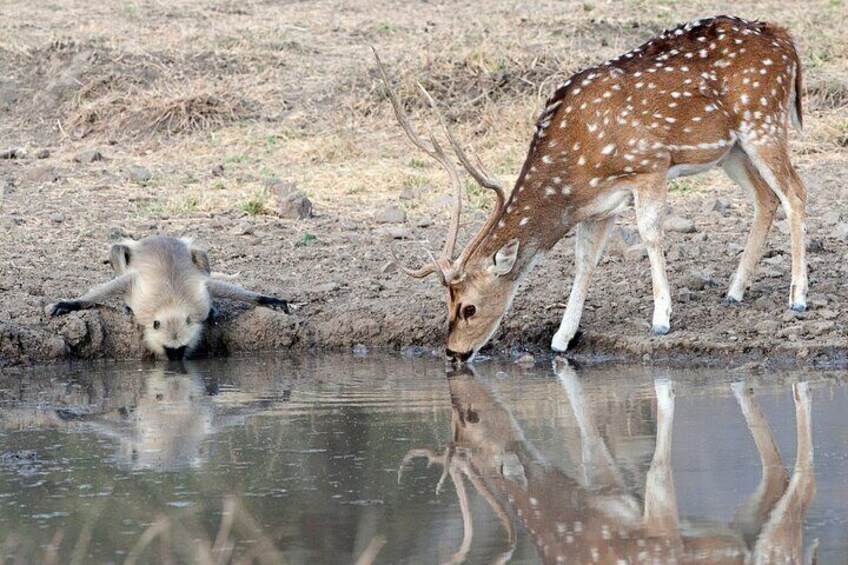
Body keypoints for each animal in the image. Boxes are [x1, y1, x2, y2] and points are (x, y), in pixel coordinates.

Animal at [380, 17, 808, 364]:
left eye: (468, 308)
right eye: (446, 304)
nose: (453, 353)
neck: (576, 167)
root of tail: (786, 41)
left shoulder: (649, 165)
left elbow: (651, 233)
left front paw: (661, 319)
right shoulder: (600, 206)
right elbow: (585, 259)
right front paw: (561, 339)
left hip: (764, 120)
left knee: (796, 191)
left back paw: (798, 297)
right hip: (731, 149)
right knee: (766, 197)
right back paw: (735, 291)